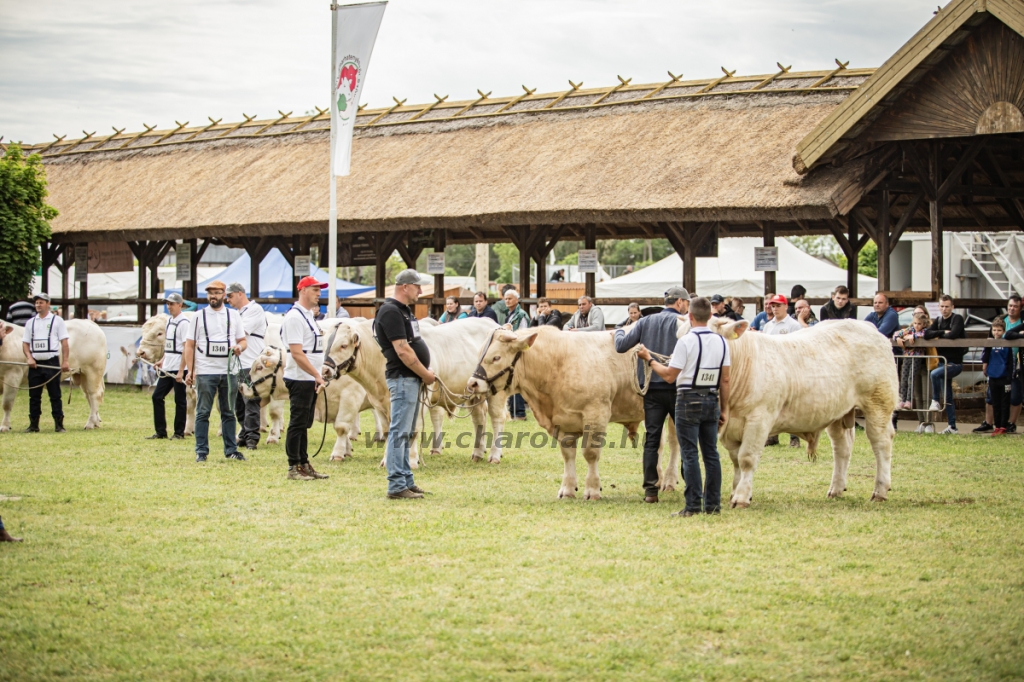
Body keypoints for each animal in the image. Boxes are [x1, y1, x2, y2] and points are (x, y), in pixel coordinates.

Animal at [321, 315, 509, 464]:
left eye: (343, 345)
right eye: (323, 346)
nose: (325, 371)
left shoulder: (419, 401)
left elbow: (413, 429)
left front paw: (411, 460)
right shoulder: (379, 404)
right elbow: (389, 431)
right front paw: (387, 460)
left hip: (496, 392)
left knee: (497, 419)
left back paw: (494, 455)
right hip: (474, 393)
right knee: (479, 419)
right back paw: (478, 452)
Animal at [466, 325, 675, 499]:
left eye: (496, 357)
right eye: (479, 354)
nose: (472, 383)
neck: (558, 364)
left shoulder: (596, 414)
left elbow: (590, 453)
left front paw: (592, 489)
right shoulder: (561, 420)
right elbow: (568, 454)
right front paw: (567, 489)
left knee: (675, 443)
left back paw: (669, 481)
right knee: (658, 443)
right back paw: (657, 479)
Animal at [712, 317, 897, 503]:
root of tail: (864, 324)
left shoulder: (759, 419)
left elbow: (746, 459)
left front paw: (741, 497)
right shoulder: (731, 428)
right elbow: (735, 461)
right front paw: (736, 492)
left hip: (878, 402)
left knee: (881, 442)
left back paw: (880, 491)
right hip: (838, 411)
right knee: (842, 447)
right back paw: (836, 489)